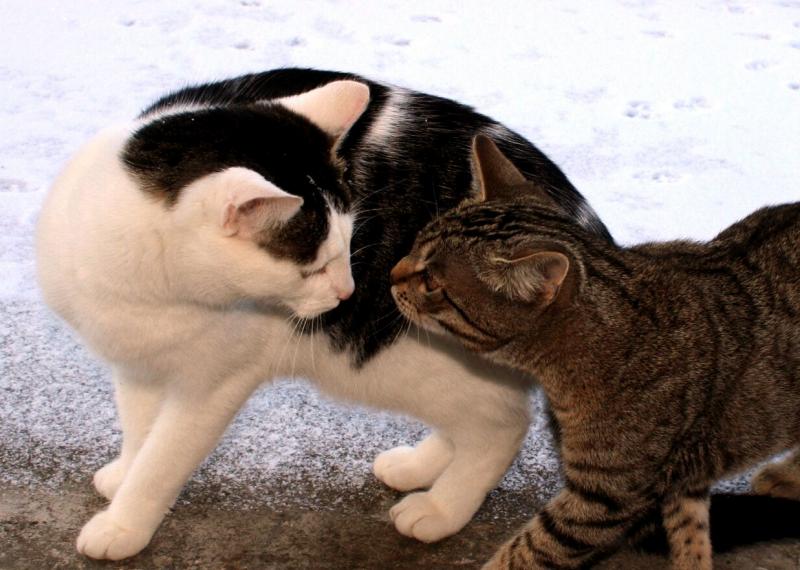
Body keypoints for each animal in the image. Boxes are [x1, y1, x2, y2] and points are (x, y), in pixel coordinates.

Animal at [36, 69, 611, 560]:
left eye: (349, 245)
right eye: (314, 266)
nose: (347, 293)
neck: (156, 293)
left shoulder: (213, 386)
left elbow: (162, 459)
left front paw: (123, 523)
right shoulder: (135, 363)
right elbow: (140, 432)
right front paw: (124, 476)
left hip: (391, 360)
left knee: (502, 423)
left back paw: (441, 508)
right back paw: (418, 466)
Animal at [391, 134, 800, 570]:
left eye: (431, 281)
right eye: (415, 243)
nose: (391, 273)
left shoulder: (605, 495)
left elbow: (530, 550)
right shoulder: (684, 478)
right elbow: (691, 534)